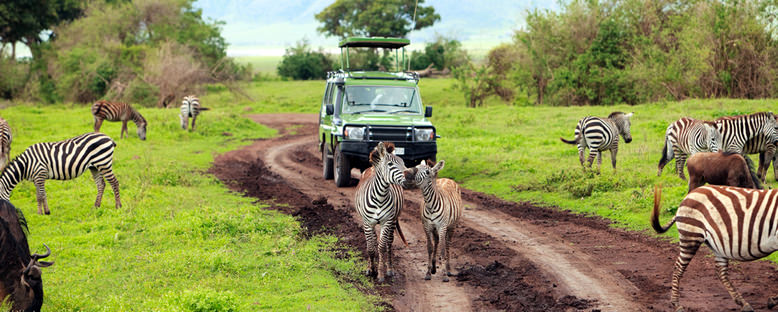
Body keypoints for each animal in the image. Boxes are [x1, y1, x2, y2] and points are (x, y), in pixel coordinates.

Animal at [354, 141, 410, 282]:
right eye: (390, 164)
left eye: (403, 163)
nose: (410, 177)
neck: (380, 196)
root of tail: (371, 167)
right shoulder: (367, 223)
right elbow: (370, 247)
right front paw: (371, 269)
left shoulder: (387, 221)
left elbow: (382, 247)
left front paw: (380, 274)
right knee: (372, 242)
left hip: (393, 221)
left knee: (389, 243)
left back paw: (389, 269)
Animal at [648, 185, 778, 312]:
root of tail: (689, 195)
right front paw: (773, 300)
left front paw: (773, 300)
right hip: (691, 236)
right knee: (678, 268)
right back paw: (676, 305)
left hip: (718, 246)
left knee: (721, 272)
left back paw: (743, 304)